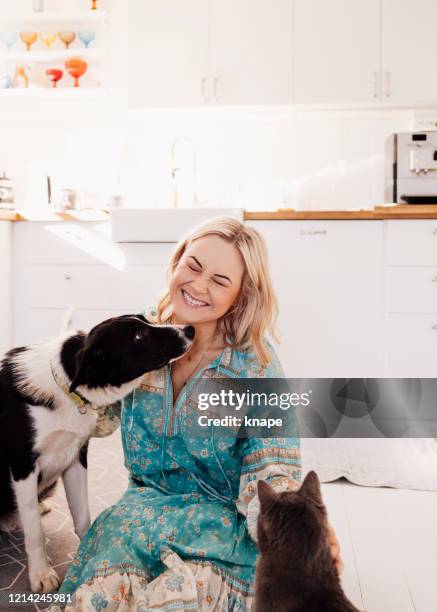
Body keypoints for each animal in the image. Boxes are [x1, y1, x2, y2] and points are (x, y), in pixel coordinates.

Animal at [0, 314, 194, 592]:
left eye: (145, 320)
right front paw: (41, 573)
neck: (67, 387)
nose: (190, 329)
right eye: (138, 335)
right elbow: (35, 529)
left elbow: (82, 516)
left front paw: (86, 553)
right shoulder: (23, 465)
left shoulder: (75, 457)